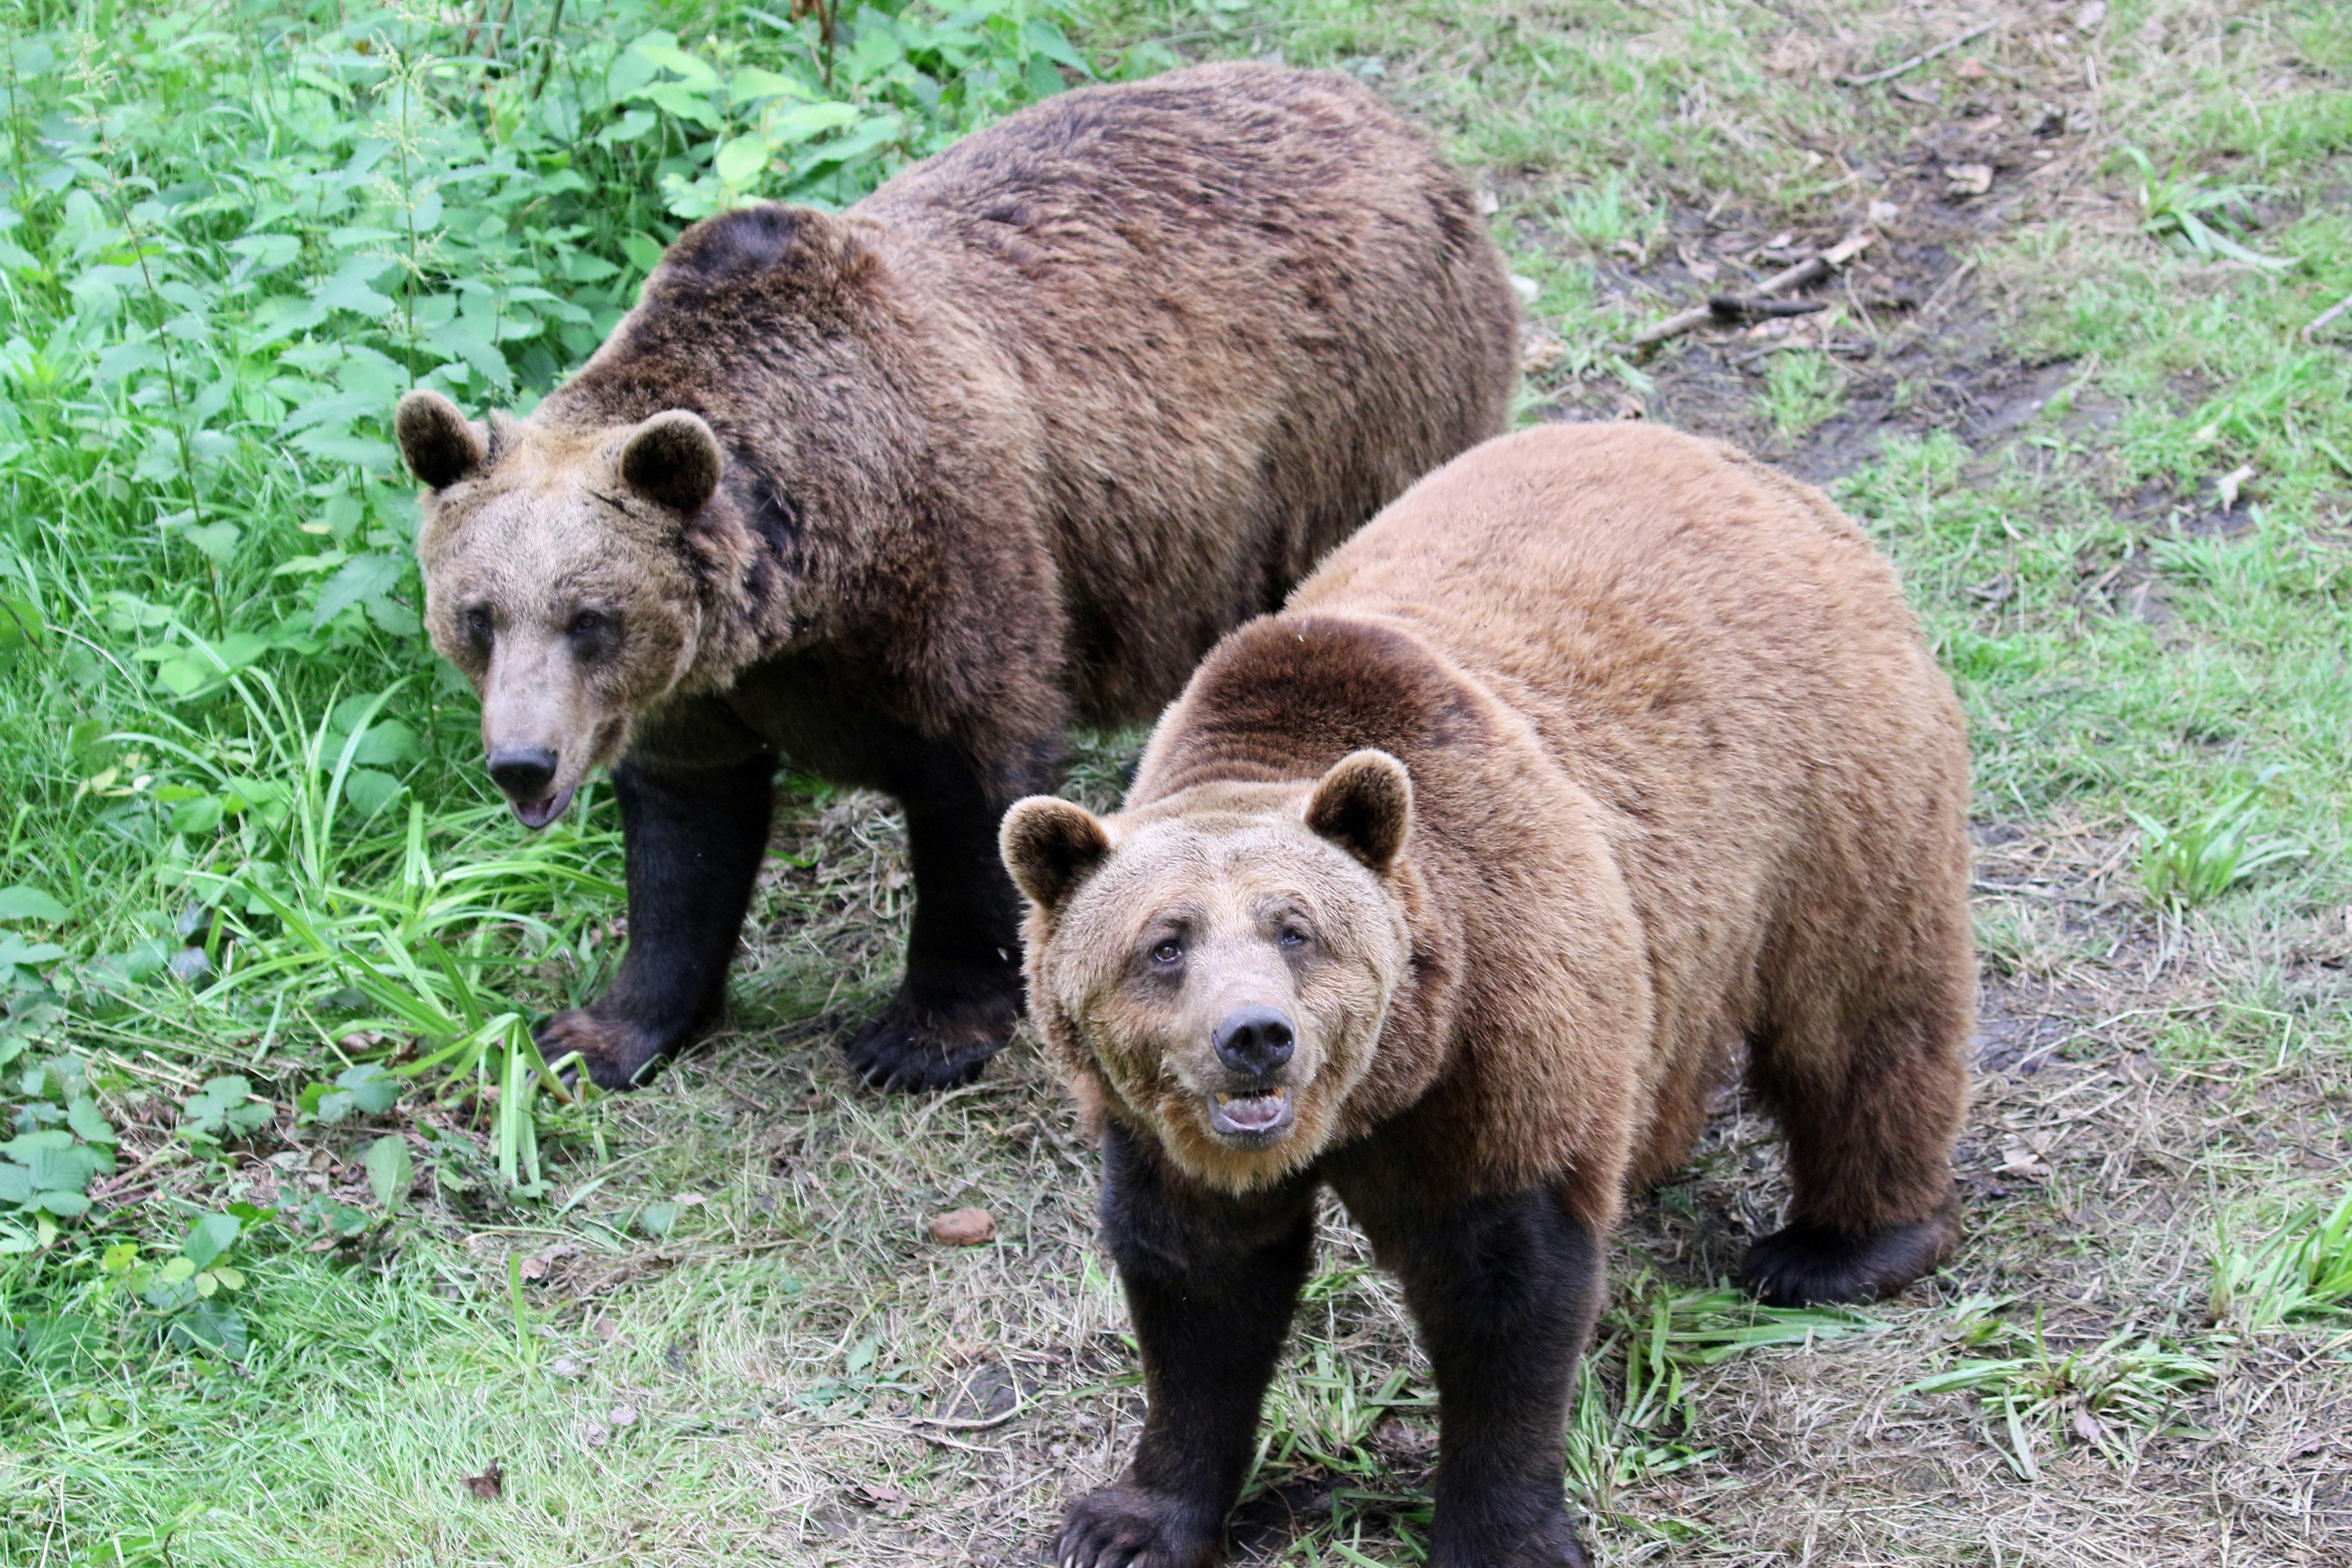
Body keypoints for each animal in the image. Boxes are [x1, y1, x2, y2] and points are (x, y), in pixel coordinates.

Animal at [393, 61, 1518, 1096]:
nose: (523, 762)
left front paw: (921, 1035)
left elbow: (975, 789)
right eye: (477, 616)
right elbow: (685, 840)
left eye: (590, 617)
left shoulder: (950, 572)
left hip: (1357, 423)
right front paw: (598, 1033)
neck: (817, 577)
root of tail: (1401, 131)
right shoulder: (700, 685)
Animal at [999, 421, 1974, 1568]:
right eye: (1164, 944)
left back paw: (1839, 1246)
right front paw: (1129, 1520)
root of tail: (1740, 465)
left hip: (1829, 799)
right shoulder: (1170, 1133)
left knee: (1860, 1015)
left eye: (1297, 929)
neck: (1374, 1095)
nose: (1255, 1036)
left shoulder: (1497, 1037)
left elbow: (1504, 1287)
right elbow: (1199, 1288)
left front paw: (1500, 1532)